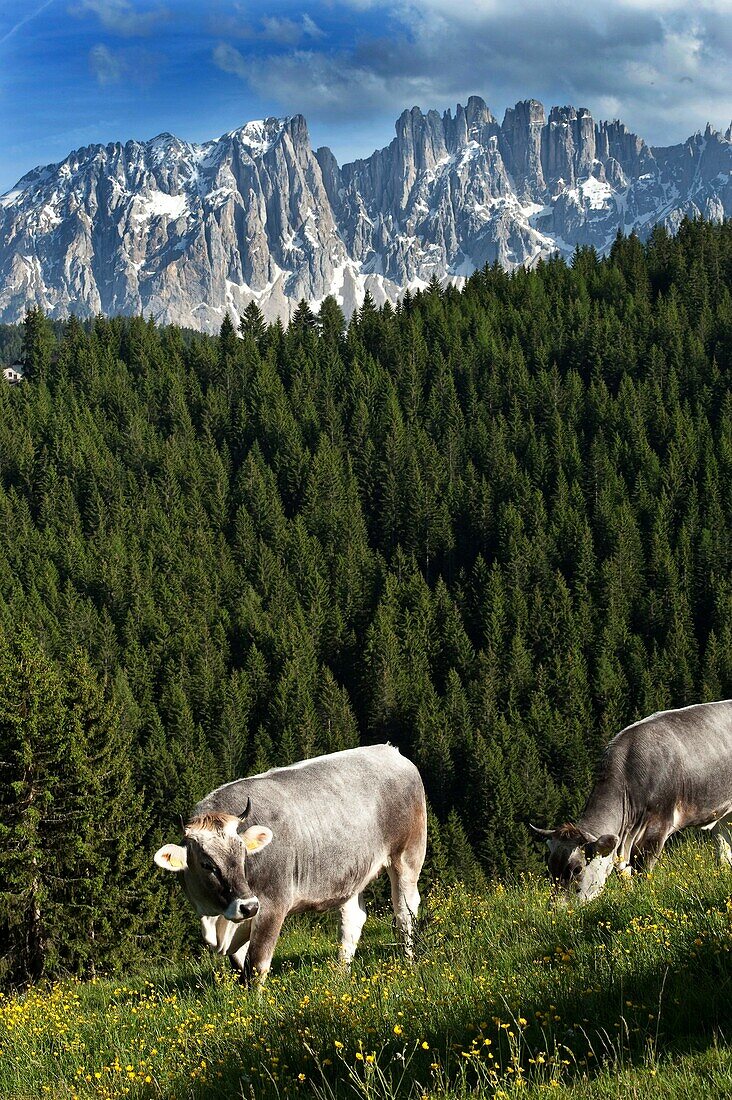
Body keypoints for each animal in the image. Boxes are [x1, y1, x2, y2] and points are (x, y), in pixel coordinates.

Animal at [154, 743, 429, 985]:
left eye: (243, 856)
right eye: (206, 864)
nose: (248, 906)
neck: (215, 919)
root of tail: (390, 751)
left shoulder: (272, 904)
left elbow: (257, 966)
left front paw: (255, 1006)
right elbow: (240, 968)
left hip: (407, 855)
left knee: (405, 911)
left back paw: (407, 964)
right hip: (352, 871)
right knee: (353, 919)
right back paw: (340, 976)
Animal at [528, 704, 730, 902]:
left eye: (577, 869)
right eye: (550, 867)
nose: (557, 908)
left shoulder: (657, 830)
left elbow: (643, 872)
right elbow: (625, 878)